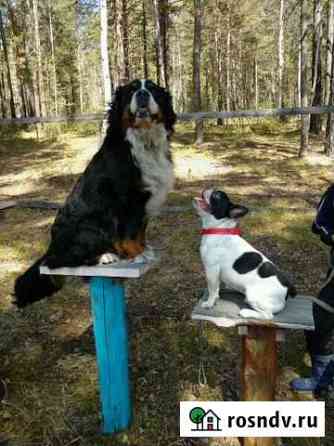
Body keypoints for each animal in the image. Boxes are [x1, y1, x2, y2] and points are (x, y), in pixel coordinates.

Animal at [193, 188, 298, 320]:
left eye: (217, 196)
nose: (208, 188)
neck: (218, 229)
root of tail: (287, 288)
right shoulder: (215, 273)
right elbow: (216, 288)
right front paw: (216, 297)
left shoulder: (211, 269)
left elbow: (211, 289)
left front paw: (209, 303)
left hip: (253, 295)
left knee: (268, 316)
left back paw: (246, 312)